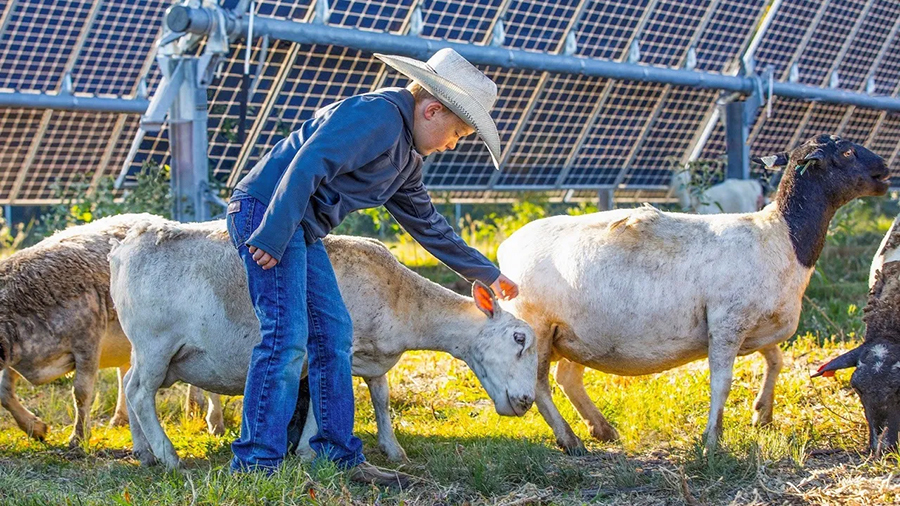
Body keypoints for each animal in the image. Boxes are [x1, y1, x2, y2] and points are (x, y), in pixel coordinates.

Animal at [109, 217, 536, 470]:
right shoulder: (338, 348)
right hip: (156, 341)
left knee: (130, 385)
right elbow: (323, 396)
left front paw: (393, 448)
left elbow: (381, 399)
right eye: (519, 338)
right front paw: (310, 452)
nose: (527, 401)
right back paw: (168, 455)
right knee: (139, 391)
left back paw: (143, 452)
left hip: (152, 350)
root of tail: (123, 250)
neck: (404, 302)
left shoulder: (373, 358)